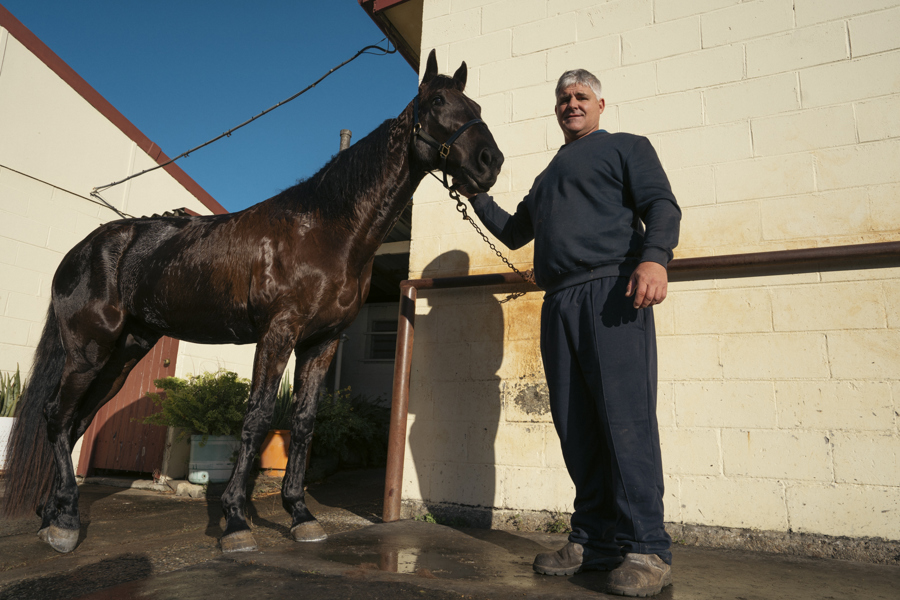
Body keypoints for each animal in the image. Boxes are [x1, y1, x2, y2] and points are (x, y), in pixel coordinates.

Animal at [1, 50, 503, 554]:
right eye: (437, 101)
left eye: (478, 105)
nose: (490, 162)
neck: (325, 230)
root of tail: (81, 249)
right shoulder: (278, 332)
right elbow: (258, 418)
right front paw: (237, 521)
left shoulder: (323, 342)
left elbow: (303, 422)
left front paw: (300, 514)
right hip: (89, 349)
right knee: (57, 416)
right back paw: (65, 520)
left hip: (124, 353)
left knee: (75, 421)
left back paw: (53, 514)